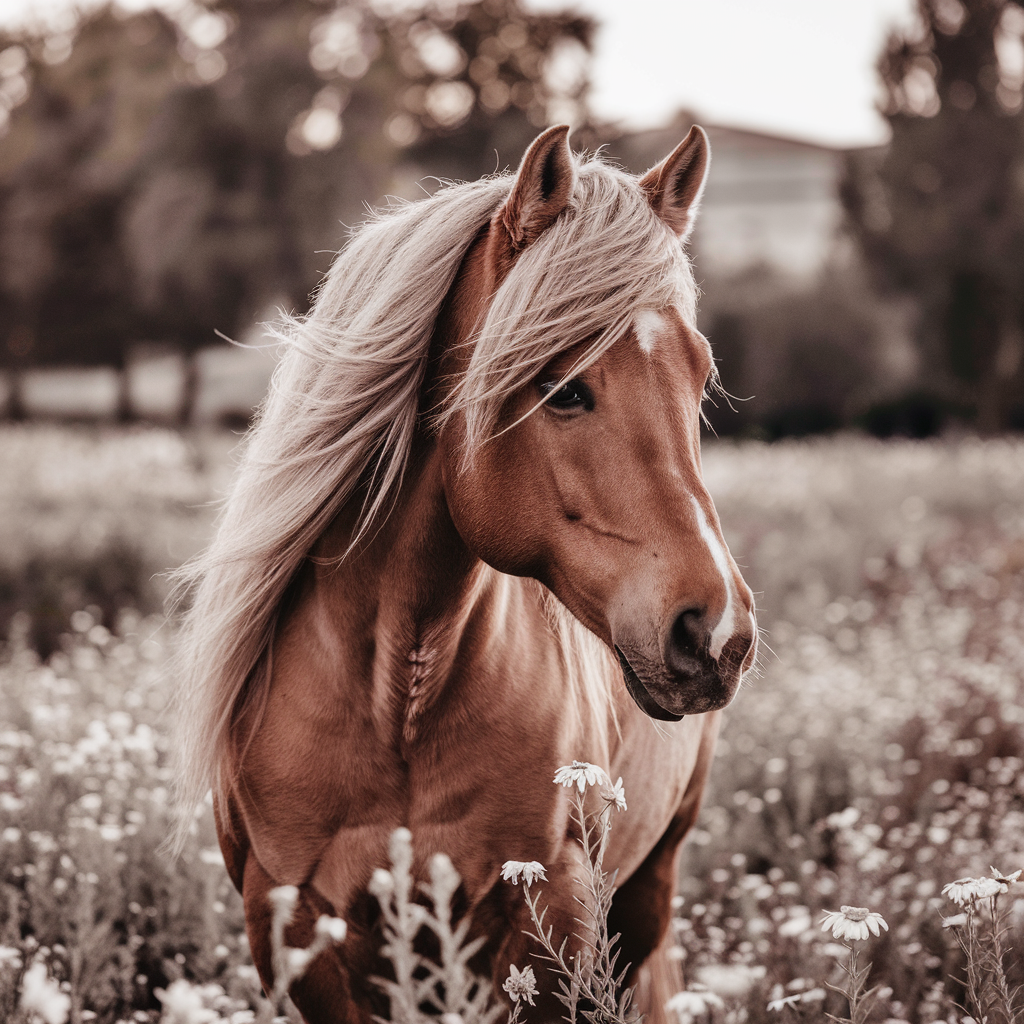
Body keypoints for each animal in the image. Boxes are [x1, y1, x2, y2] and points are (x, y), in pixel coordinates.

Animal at [172, 123, 757, 1024]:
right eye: (562, 389)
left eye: (697, 376)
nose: (717, 632)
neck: (395, 698)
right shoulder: (292, 923)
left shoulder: (552, 910)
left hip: (649, 888)